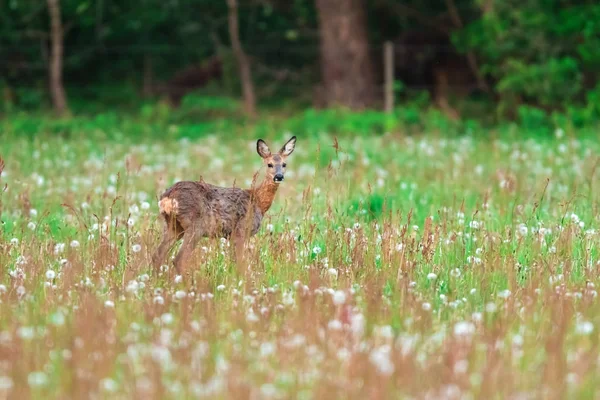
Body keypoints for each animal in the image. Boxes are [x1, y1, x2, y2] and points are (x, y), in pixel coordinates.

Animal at [151, 135, 296, 276]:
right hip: (195, 226)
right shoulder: (240, 231)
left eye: (284, 164)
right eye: (269, 164)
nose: (279, 176)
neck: (258, 201)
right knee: (179, 259)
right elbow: (241, 264)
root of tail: (168, 197)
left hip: (173, 226)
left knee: (157, 255)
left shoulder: (230, 236)